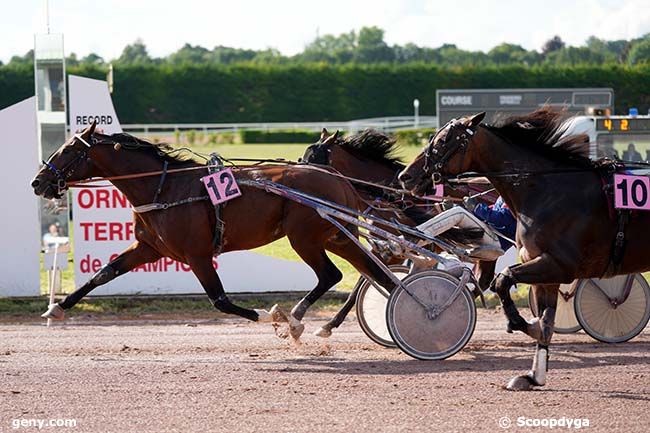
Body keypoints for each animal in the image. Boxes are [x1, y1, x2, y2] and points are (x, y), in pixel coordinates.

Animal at [30, 122, 392, 338]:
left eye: (69, 150)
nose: (38, 181)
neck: (164, 188)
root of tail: (339, 178)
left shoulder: (197, 254)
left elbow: (220, 300)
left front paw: (267, 315)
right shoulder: (149, 248)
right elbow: (103, 273)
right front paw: (56, 307)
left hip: (304, 237)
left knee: (331, 275)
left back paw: (294, 318)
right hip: (336, 236)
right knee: (374, 273)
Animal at [394, 107, 648, 388]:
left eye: (442, 141)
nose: (405, 176)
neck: (550, 191)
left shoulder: (559, 265)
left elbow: (503, 281)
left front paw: (519, 323)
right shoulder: (546, 270)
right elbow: (545, 322)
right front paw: (533, 376)